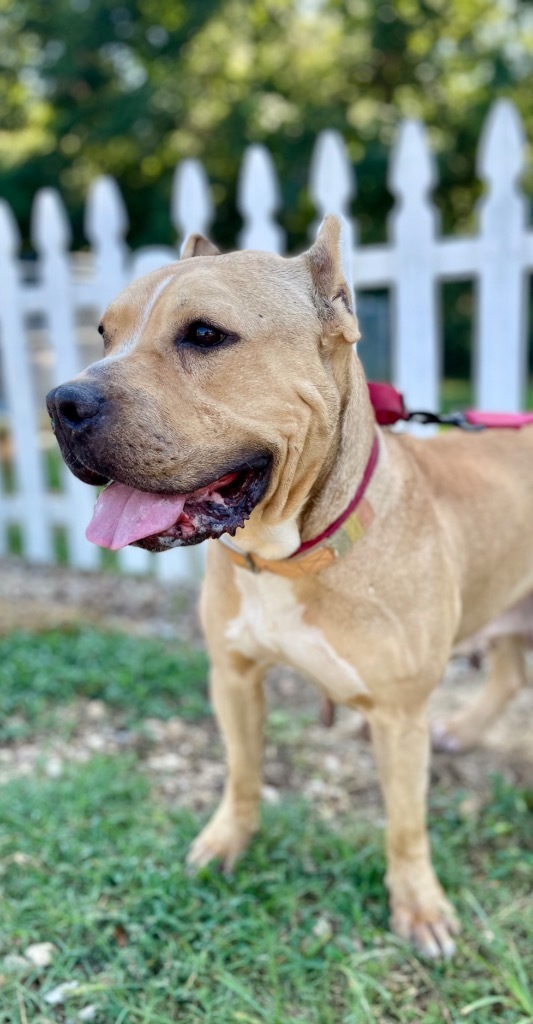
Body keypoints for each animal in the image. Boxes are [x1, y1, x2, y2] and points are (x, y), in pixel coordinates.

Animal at [47, 218, 527, 958]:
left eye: (205, 334)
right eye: (103, 333)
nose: (62, 402)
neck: (287, 553)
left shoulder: (398, 716)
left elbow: (404, 823)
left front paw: (419, 906)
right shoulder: (234, 675)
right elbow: (243, 771)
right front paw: (225, 842)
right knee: (507, 673)